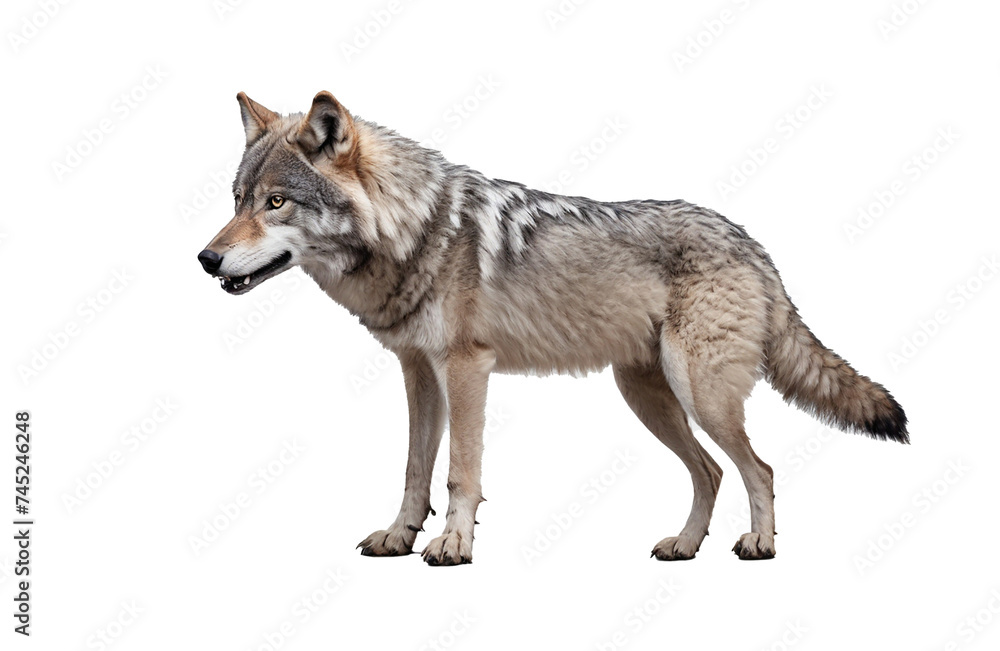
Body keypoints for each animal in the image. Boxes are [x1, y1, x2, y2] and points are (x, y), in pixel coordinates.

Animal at [197, 91, 907, 565]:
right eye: (237, 200)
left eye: (276, 203)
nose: (205, 259)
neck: (413, 230)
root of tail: (753, 244)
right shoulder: (418, 372)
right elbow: (414, 468)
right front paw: (400, 535)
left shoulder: (467, 368)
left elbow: (459, 471)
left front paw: (452, 544)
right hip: (647, 398)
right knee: (711, 471)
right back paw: (685, 545)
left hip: (698, 395)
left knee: (758, 468)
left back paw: (758, 542)